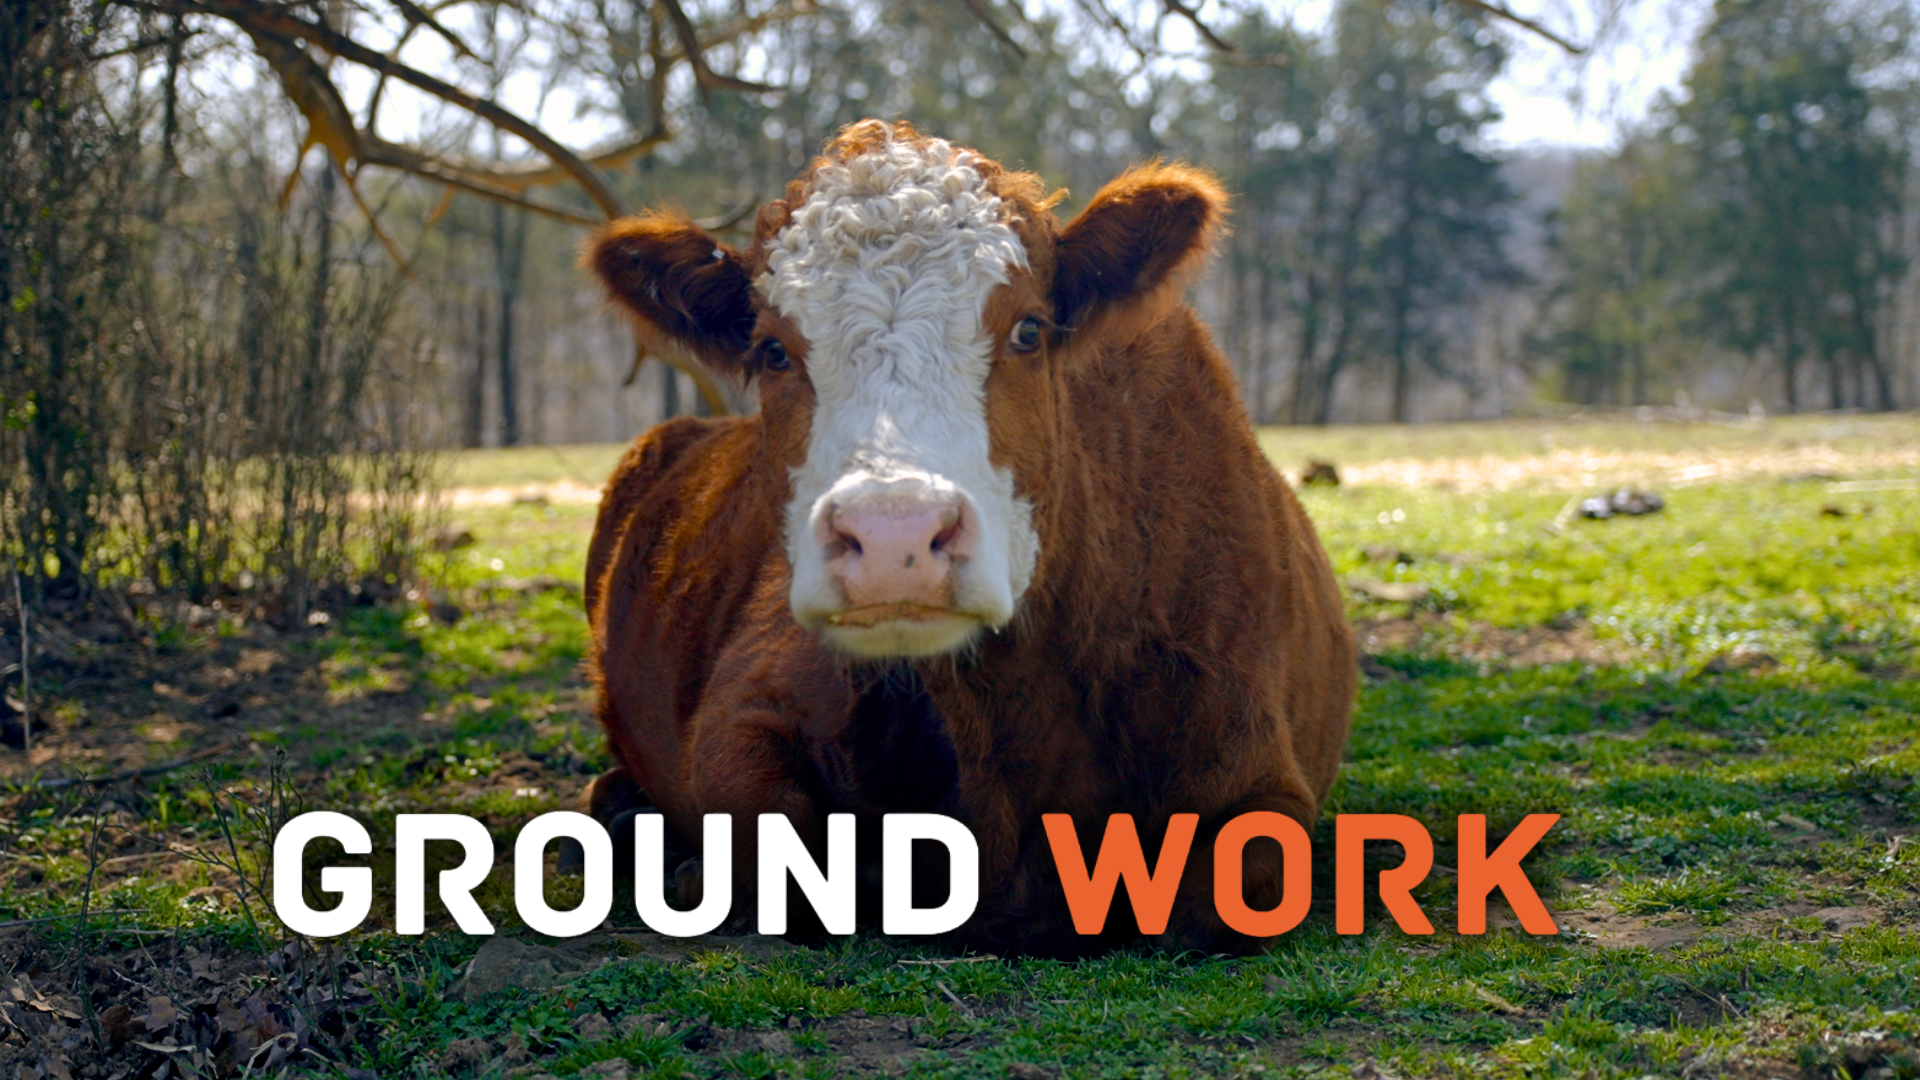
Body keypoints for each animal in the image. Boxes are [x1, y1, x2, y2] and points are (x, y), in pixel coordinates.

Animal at [581, 119, 1355, 955]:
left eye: (1027, 329)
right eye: (773, 349)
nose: (893, 536)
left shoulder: (1256, 770)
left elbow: (1224, 892)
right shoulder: (746, 705)